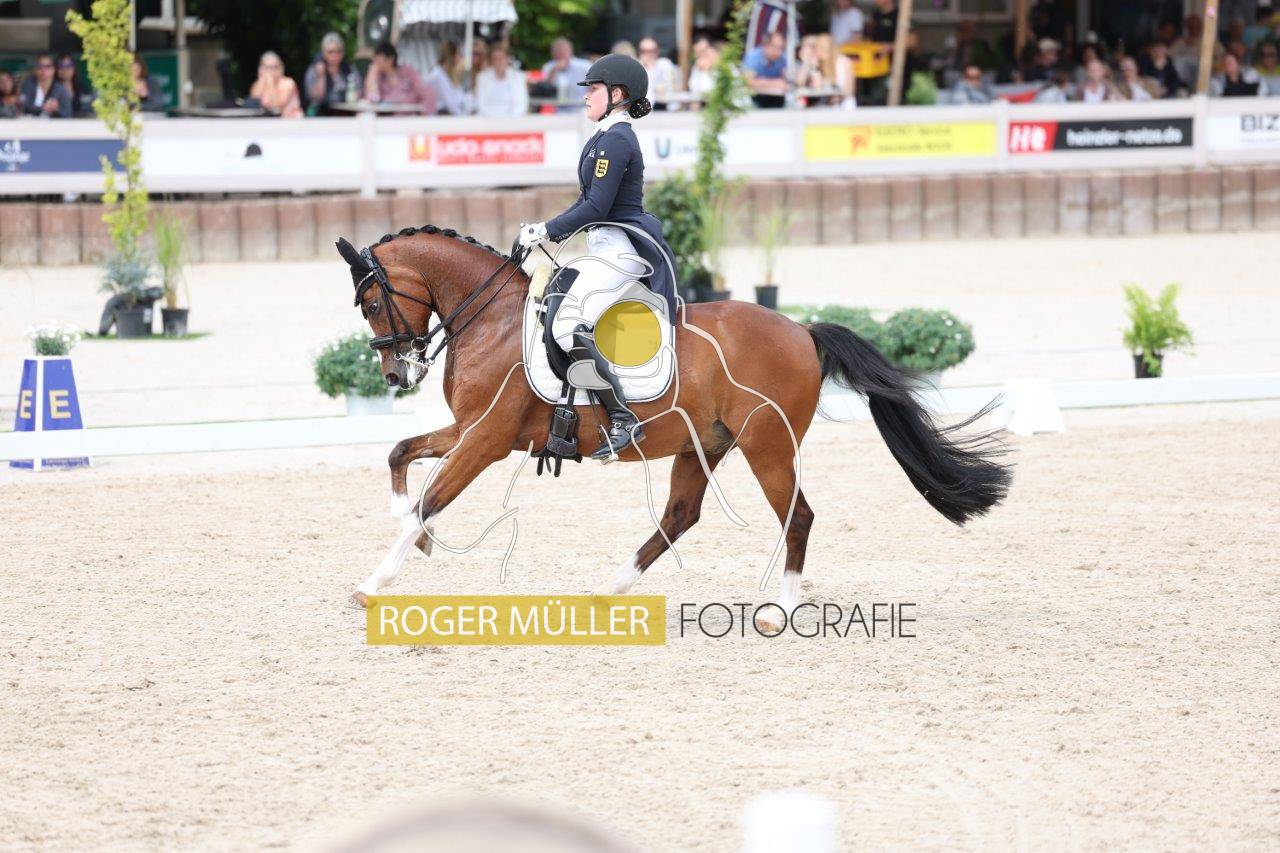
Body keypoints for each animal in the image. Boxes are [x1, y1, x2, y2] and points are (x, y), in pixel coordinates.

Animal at [335, 225, 1012, 626]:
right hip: (702, 445)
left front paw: (376, 581)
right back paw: (607, 592)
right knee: (679, 517)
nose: (397, 374)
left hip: (767, 446)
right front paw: (418, 541)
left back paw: (778, 610)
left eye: (371, 302)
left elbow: (429, 498)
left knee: (797, 516)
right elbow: (401, 455)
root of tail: (801, 330)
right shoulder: (472, 430)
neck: (493, 320)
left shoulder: (488, 439)